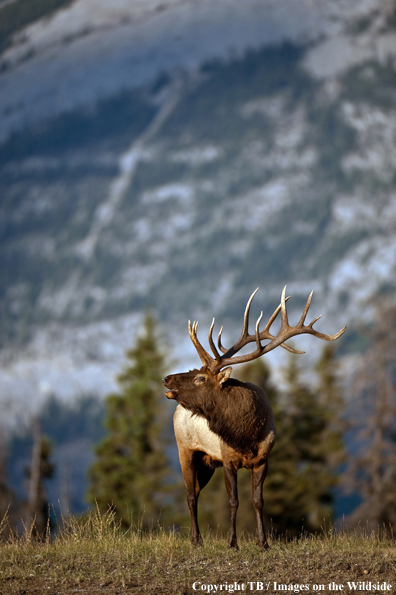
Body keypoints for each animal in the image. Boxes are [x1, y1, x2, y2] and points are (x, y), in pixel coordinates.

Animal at [162, 288, 344, 548]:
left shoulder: (262, 459)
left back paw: (198, 539)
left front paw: (263, 542)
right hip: (184, 448)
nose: (166, 378)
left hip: (207, 461)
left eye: (199, 378)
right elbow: (233, 501)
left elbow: (258, 500)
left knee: (195, 491)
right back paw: (195, 540)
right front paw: (232, 543)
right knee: (190, 495)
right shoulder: (227, 458)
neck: (245, 435)